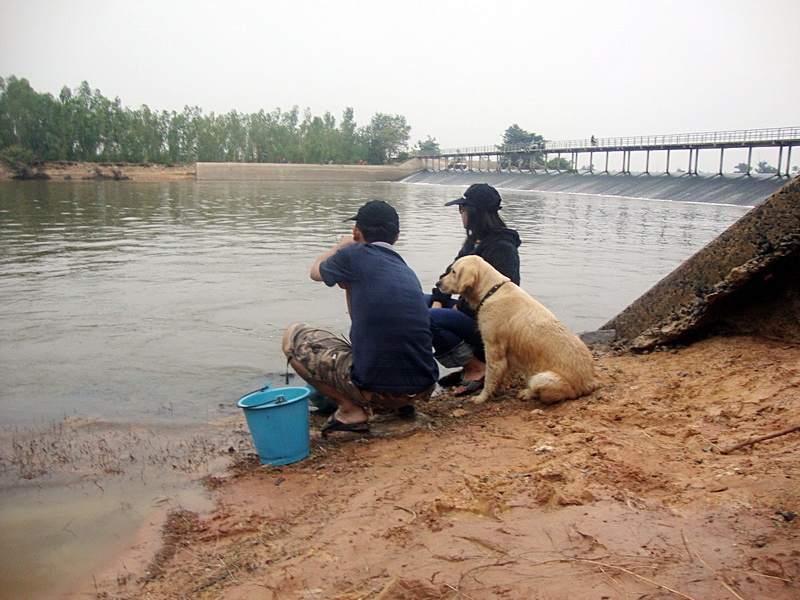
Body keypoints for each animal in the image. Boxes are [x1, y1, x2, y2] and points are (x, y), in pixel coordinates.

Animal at [434, 255, 596, 406]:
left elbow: (489, 377)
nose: (437, 283)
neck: (491, 291)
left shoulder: (493, 347)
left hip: (541, 378)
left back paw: (526, 393)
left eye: (453, 271)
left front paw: (481, 398)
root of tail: (590, 383)